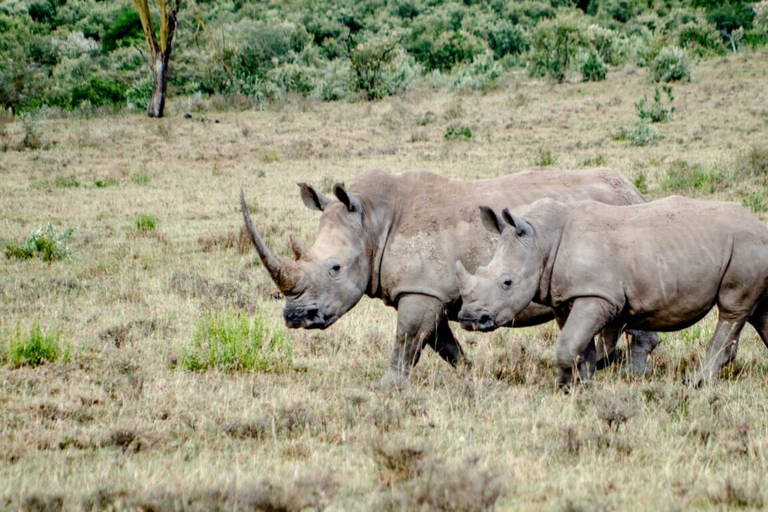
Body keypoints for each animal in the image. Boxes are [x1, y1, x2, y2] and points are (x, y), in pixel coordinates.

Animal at [240, 168, 656, 384]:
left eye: (335, 268)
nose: (295, 318)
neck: (371, 221)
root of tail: (633, 190)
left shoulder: (420, 290)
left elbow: (406, 340)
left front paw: (389, 386)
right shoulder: (431, 291)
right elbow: (443, 344)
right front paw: (471, 376)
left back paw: (627, 376)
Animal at [456, 196, 768, 388]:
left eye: (506, 282)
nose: (469, 319)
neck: (541, 239)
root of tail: (760, 225)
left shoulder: (597, 296)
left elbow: (568, 343)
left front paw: (566, 386)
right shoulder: (567, 296)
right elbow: (579, 343)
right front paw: (583, 380)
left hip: (745, 246)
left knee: (733, 311)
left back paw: (696, 383)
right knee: (760, 313)